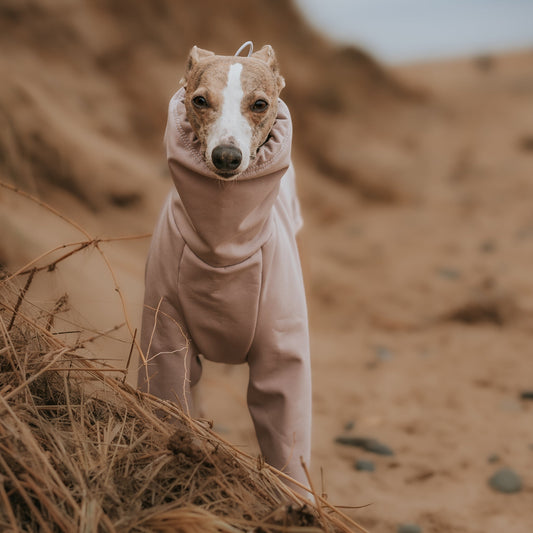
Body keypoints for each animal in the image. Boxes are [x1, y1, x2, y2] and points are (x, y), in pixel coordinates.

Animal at [138, 43, 312, 492]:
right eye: (200, 100)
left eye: (260, 104)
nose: (227, 157)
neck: (223, 249)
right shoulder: (166, 333)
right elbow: (169, 399)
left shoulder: (284, 356)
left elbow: (287, 438)